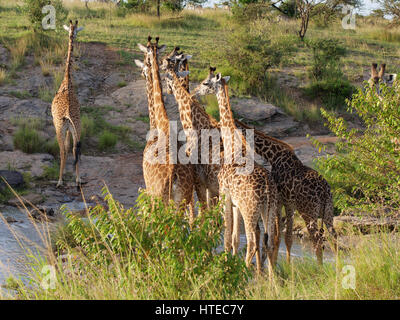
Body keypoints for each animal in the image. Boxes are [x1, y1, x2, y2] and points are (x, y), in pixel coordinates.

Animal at [136, 36, 195, 221]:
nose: (142, 72)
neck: (160, 124)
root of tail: (173, 177)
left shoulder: (148, 188)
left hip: (159, 199)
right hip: (181, 201)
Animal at [197, 67, 338, 262]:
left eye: (206, 82)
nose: (196, 90)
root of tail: (324, 193)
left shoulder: (228, 195)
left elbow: (230, 237)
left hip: (302, 212)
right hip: (327, 213)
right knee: (331, 241)